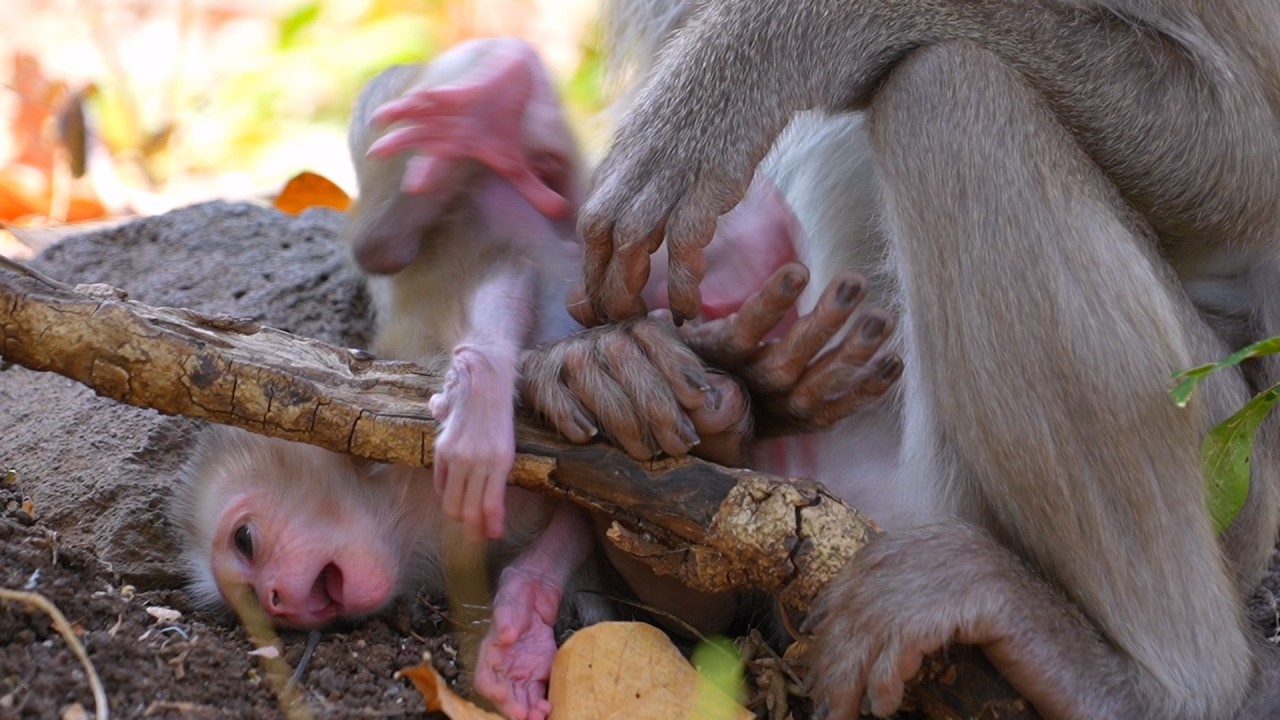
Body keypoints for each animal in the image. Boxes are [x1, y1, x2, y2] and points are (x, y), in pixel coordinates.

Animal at [525, 1, 1280, 718]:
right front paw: (628, 352)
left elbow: (1248, 157)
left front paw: (770, 52)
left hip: (1227, 451)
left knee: (945, 92)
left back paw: (1162, 683)